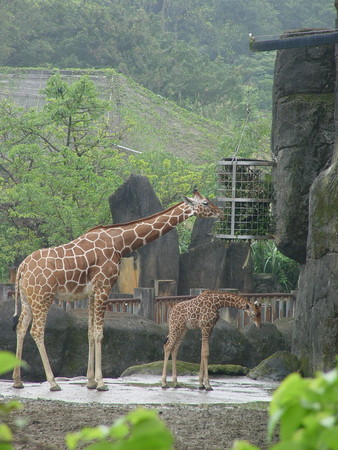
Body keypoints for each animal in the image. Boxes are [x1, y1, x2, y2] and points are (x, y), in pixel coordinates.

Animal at [13, 188, 223, 388]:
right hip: (43, 296)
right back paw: (53, 382)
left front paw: (90, 381)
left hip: (27, 298)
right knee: (36, 331)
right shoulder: (104, 286)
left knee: (21, 327)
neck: (120, 243)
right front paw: (101, 383)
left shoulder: (92, 292)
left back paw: (18, 381)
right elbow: (99, 333)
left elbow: (90, 333)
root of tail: (22, 267)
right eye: (206, 202)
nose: (220, 213)